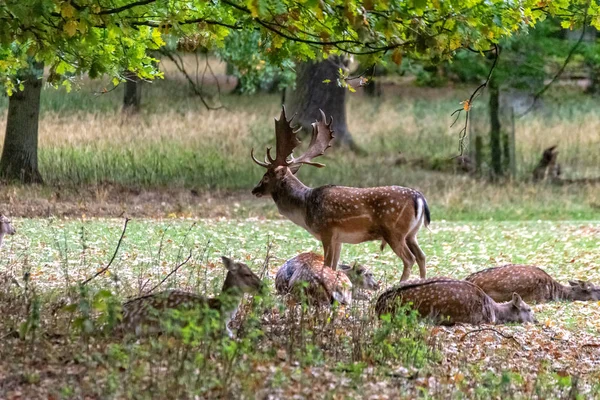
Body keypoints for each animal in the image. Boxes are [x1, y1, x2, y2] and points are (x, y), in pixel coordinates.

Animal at [252, 106, 432, 282]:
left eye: (266, 176)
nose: (255, 190)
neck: (305, 209)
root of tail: (419, 197)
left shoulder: (327, 230)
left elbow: (326, 263)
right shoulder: (339, 239)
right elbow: (334, 266)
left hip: (394, 230)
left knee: (409, 259)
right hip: (411, 234)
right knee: (422, 256)